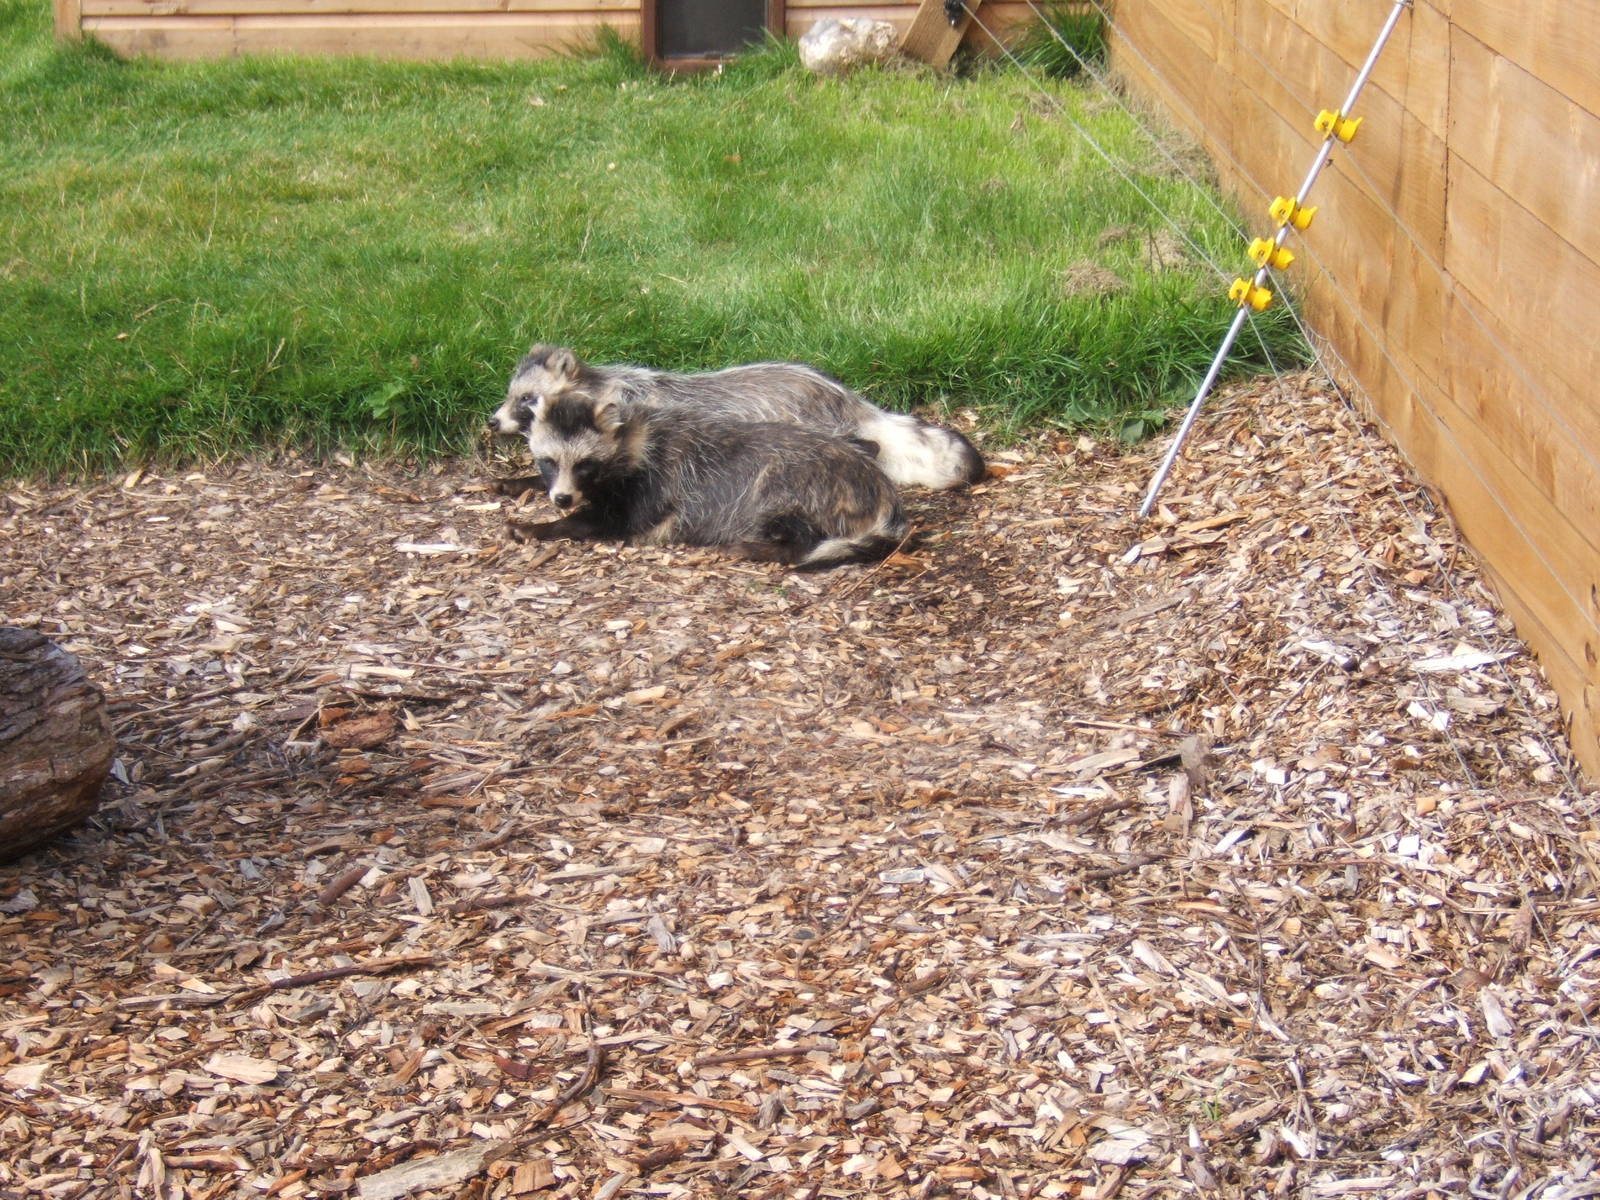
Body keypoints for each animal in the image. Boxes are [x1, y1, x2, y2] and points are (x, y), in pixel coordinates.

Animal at [489, 344, 985, 490]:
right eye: (511, 396)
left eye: (526, 400)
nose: (493, 422)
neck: (600, 387)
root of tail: (849, 400)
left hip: (807, 425)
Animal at [508, 371, 909, 569]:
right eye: (548, 462)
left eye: (585, 465)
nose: (562, 499)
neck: (635, 432)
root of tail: (880, 486)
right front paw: (520, 484)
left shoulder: (655, 484)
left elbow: (611, 521)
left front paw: (541, 526)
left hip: (801, 484)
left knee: (796, 530)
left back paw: (765, 548)